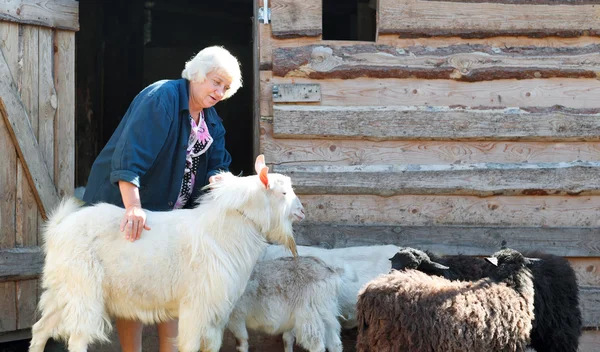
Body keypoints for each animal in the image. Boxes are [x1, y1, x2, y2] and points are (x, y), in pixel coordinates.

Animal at [28, 156, 304, 352]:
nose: (302, 211)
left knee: (40, 329)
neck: (223, 232)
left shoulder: (215, 312)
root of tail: (57, 229)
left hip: (63, 290)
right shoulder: (196, 306)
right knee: (76, 338)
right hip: (83, 290)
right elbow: (190, 346)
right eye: (283, 193)